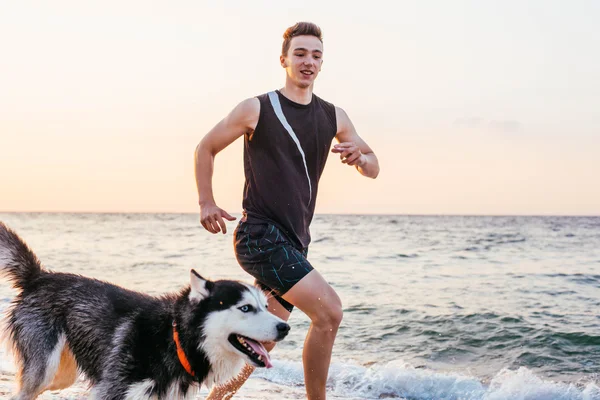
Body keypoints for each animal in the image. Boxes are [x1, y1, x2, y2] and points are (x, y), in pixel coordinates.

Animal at [0, 223, 290, 398]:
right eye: (245, 308)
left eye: (266, 307)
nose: (285, 327)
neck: (174, 338)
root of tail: (39, 277)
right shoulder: (110, 391)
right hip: (45, 369)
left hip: (62, 376)